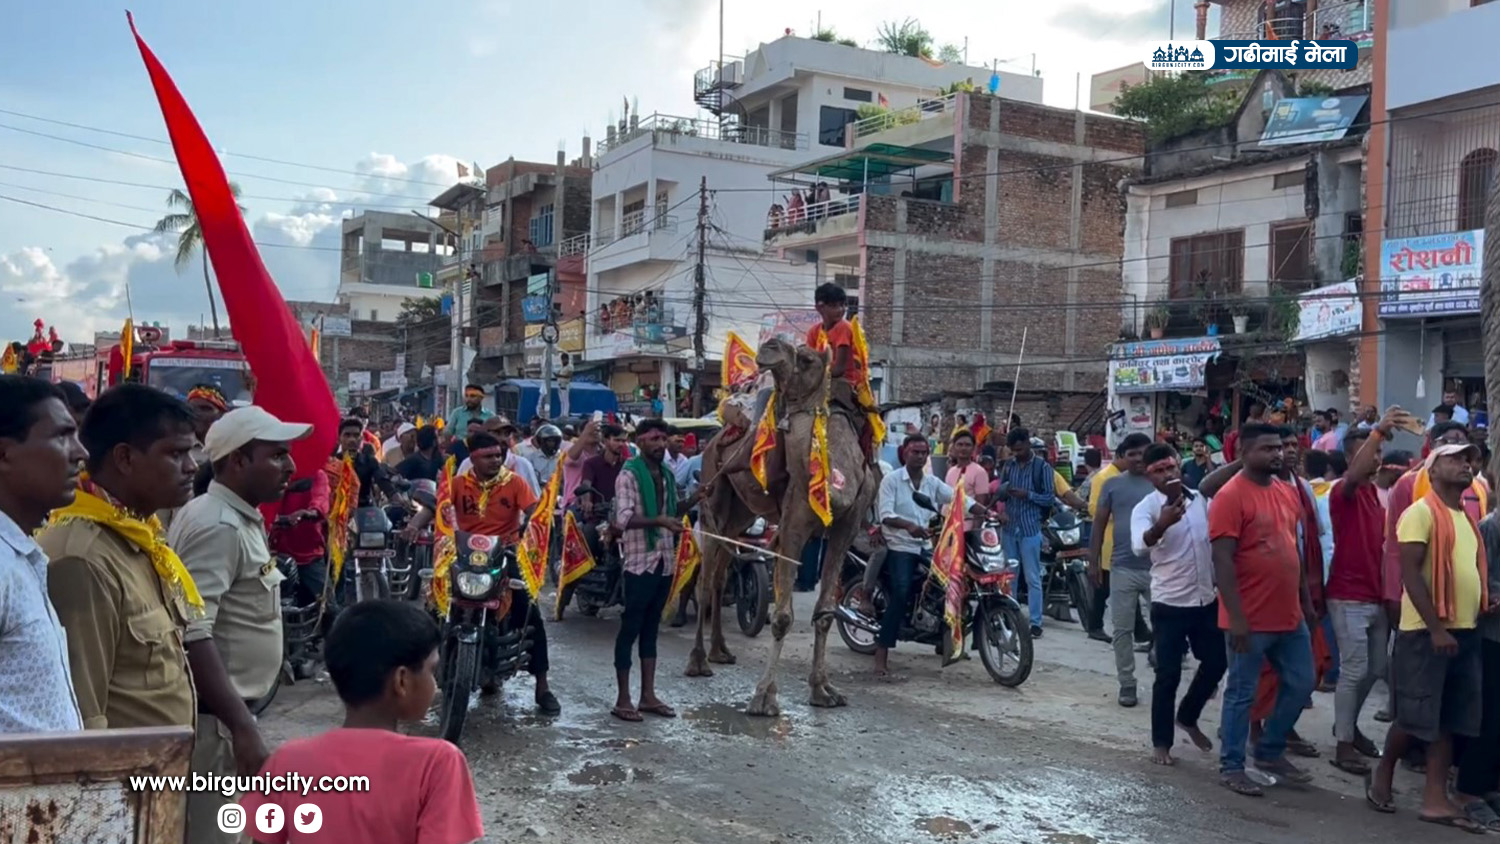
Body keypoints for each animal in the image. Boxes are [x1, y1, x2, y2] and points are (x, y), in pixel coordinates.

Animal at [726, 340, 876, 716]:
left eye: (807, 358)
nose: (768, 347)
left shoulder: (847, 525)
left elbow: (825, 613)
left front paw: (823, 690)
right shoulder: (794, 521)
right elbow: (782, 617)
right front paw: (762, 698)